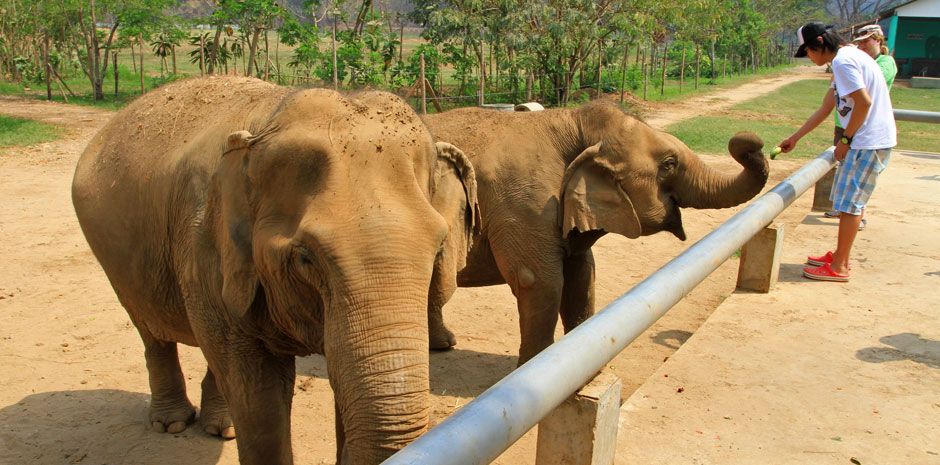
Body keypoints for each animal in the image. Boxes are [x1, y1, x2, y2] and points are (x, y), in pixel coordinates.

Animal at [70, 77, 478, 464]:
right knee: (151, 331)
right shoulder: (204, 242)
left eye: (438, 249)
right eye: (305, 259)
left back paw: (223, 428)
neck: (267, 121)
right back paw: (172, 424)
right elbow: (259, 396)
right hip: (114, 257)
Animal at [422, 98, 768, 360]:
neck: (573, 123)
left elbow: (582, 276)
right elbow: (539, 281)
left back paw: (443, 346)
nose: (748, 140)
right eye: (669, 164)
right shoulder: (524, 205)